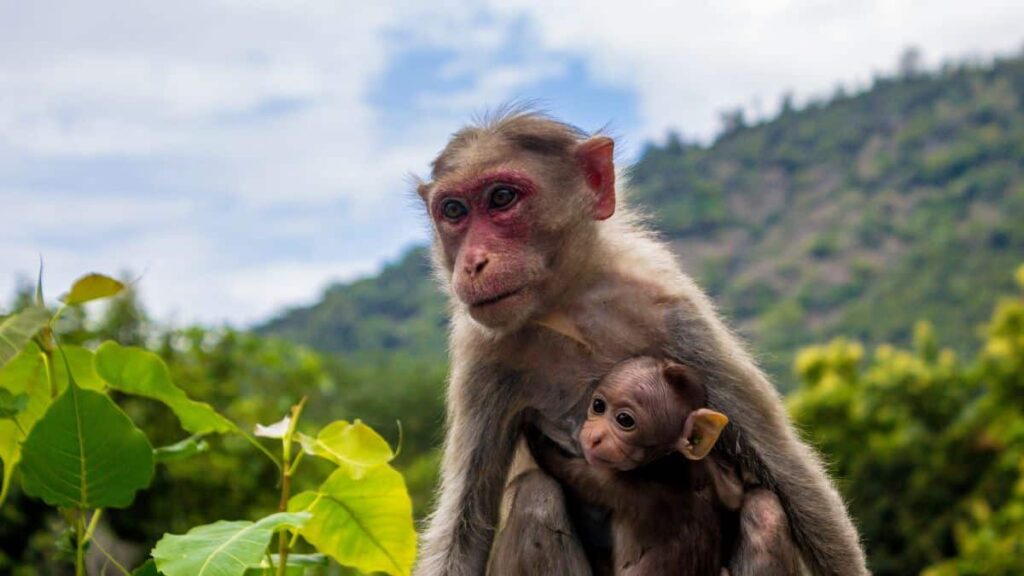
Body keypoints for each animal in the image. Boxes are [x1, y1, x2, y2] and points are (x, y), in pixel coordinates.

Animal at [413, 109, 867, 576]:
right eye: (453, 210)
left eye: (502, 198)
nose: (472, 262)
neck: (565, 306)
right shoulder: (480, 354)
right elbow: (465, 530)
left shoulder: (674, 310)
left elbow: (788, 474)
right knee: (535, 496)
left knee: (766, 508)